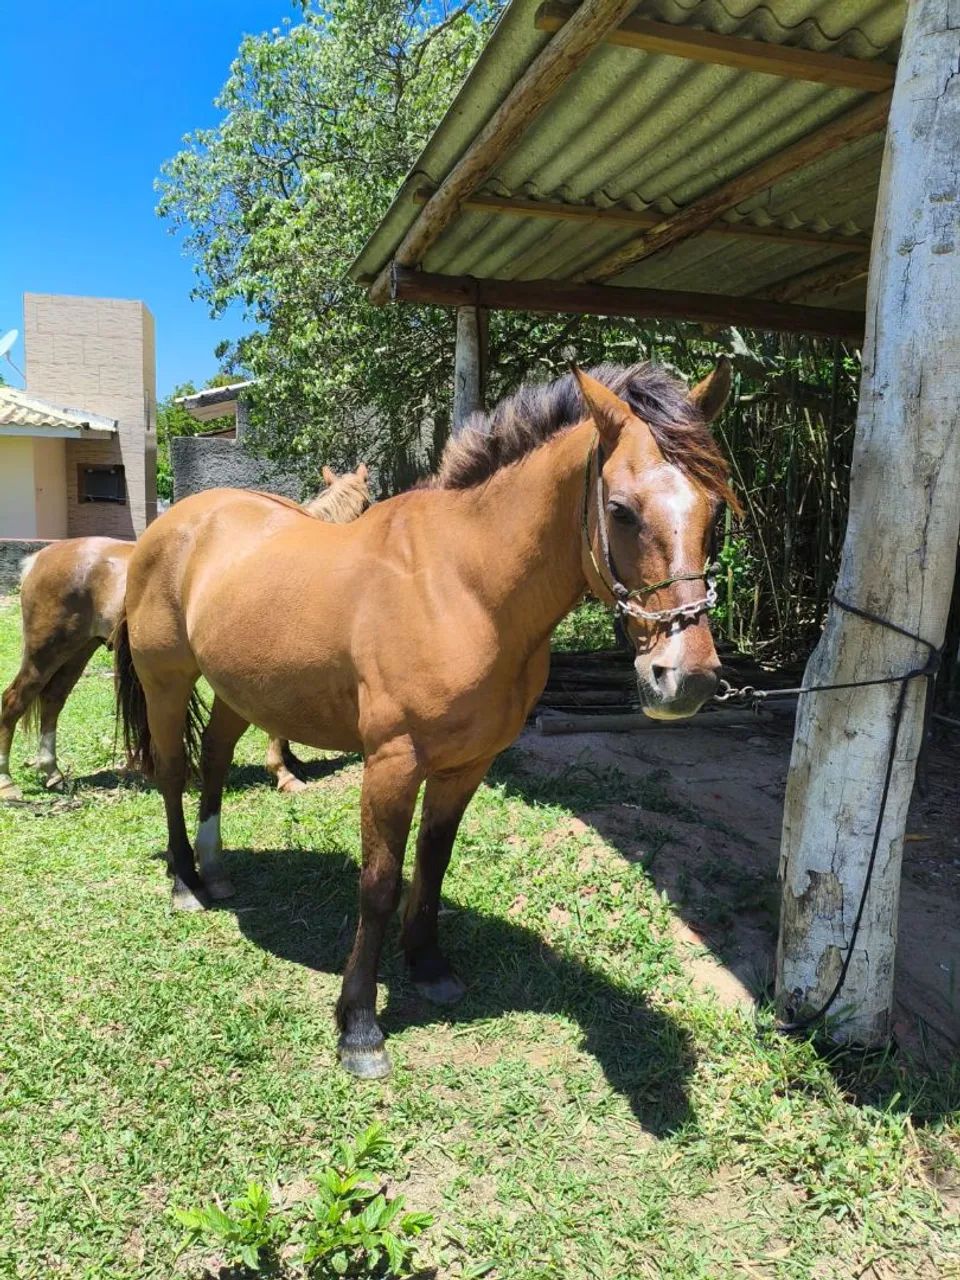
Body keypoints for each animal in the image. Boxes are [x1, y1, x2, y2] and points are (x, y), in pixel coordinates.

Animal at [0, 465, 371, 801]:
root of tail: (39, 558)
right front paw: (283, 773)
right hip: (45, 651)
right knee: (14, 700)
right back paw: (8, 783)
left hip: (77, 650)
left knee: (52, 701)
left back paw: (53, 773)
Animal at [115, 361, 734, 1079]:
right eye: (620, 510)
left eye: (714, 509)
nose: (686, 678)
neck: (462, 586)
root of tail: (173, 524)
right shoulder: (392, 763)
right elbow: (379, 884)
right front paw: (359, 1025)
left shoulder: (467, 765)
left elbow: (433, 863)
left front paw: (429, 965)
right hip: (167, 681)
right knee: (172, 772)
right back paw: (185, 882)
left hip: (240, 690)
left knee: (213, 762)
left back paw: (215, 871)